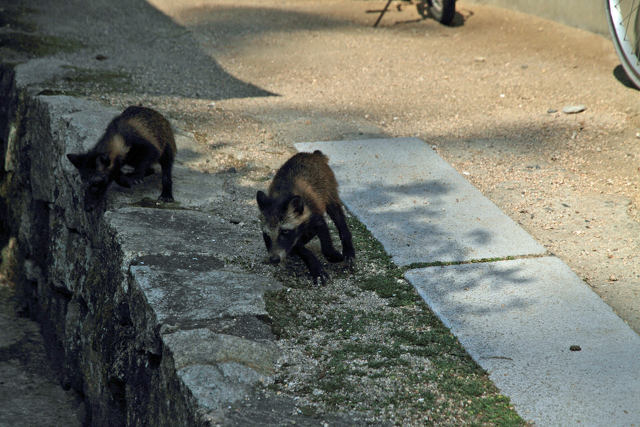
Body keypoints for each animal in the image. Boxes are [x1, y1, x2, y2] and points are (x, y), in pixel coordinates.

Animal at [256, 151, 356, 288]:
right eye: (266, 235)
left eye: (284, 231)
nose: (274, 259)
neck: (281, 198)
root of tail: (312, 154)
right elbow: (297, 247)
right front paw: (312, 263)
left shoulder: (314, 213)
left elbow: (325, 239)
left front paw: (331, 254)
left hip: (328, 187)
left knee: (338, 217)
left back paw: (347, 245)